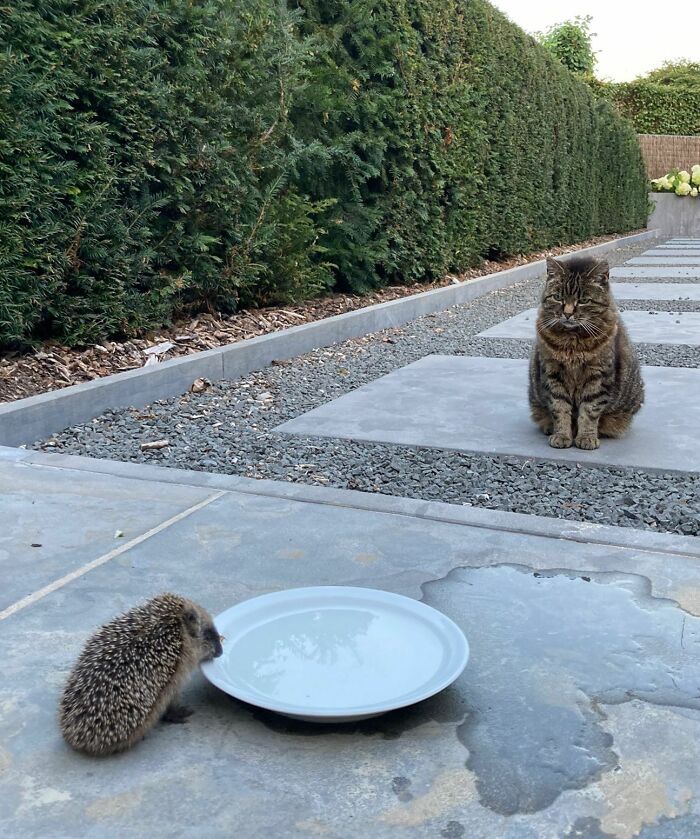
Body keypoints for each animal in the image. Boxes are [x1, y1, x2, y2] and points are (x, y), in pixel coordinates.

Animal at [528, 256, 644, 450]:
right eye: (558, 297)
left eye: (583, 300)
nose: (567, 314)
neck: (572, 342)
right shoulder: (553, 373)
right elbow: (559, 407)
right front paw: (561, 435)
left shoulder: (597, 376)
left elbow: (590, 410)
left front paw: (586, 437)